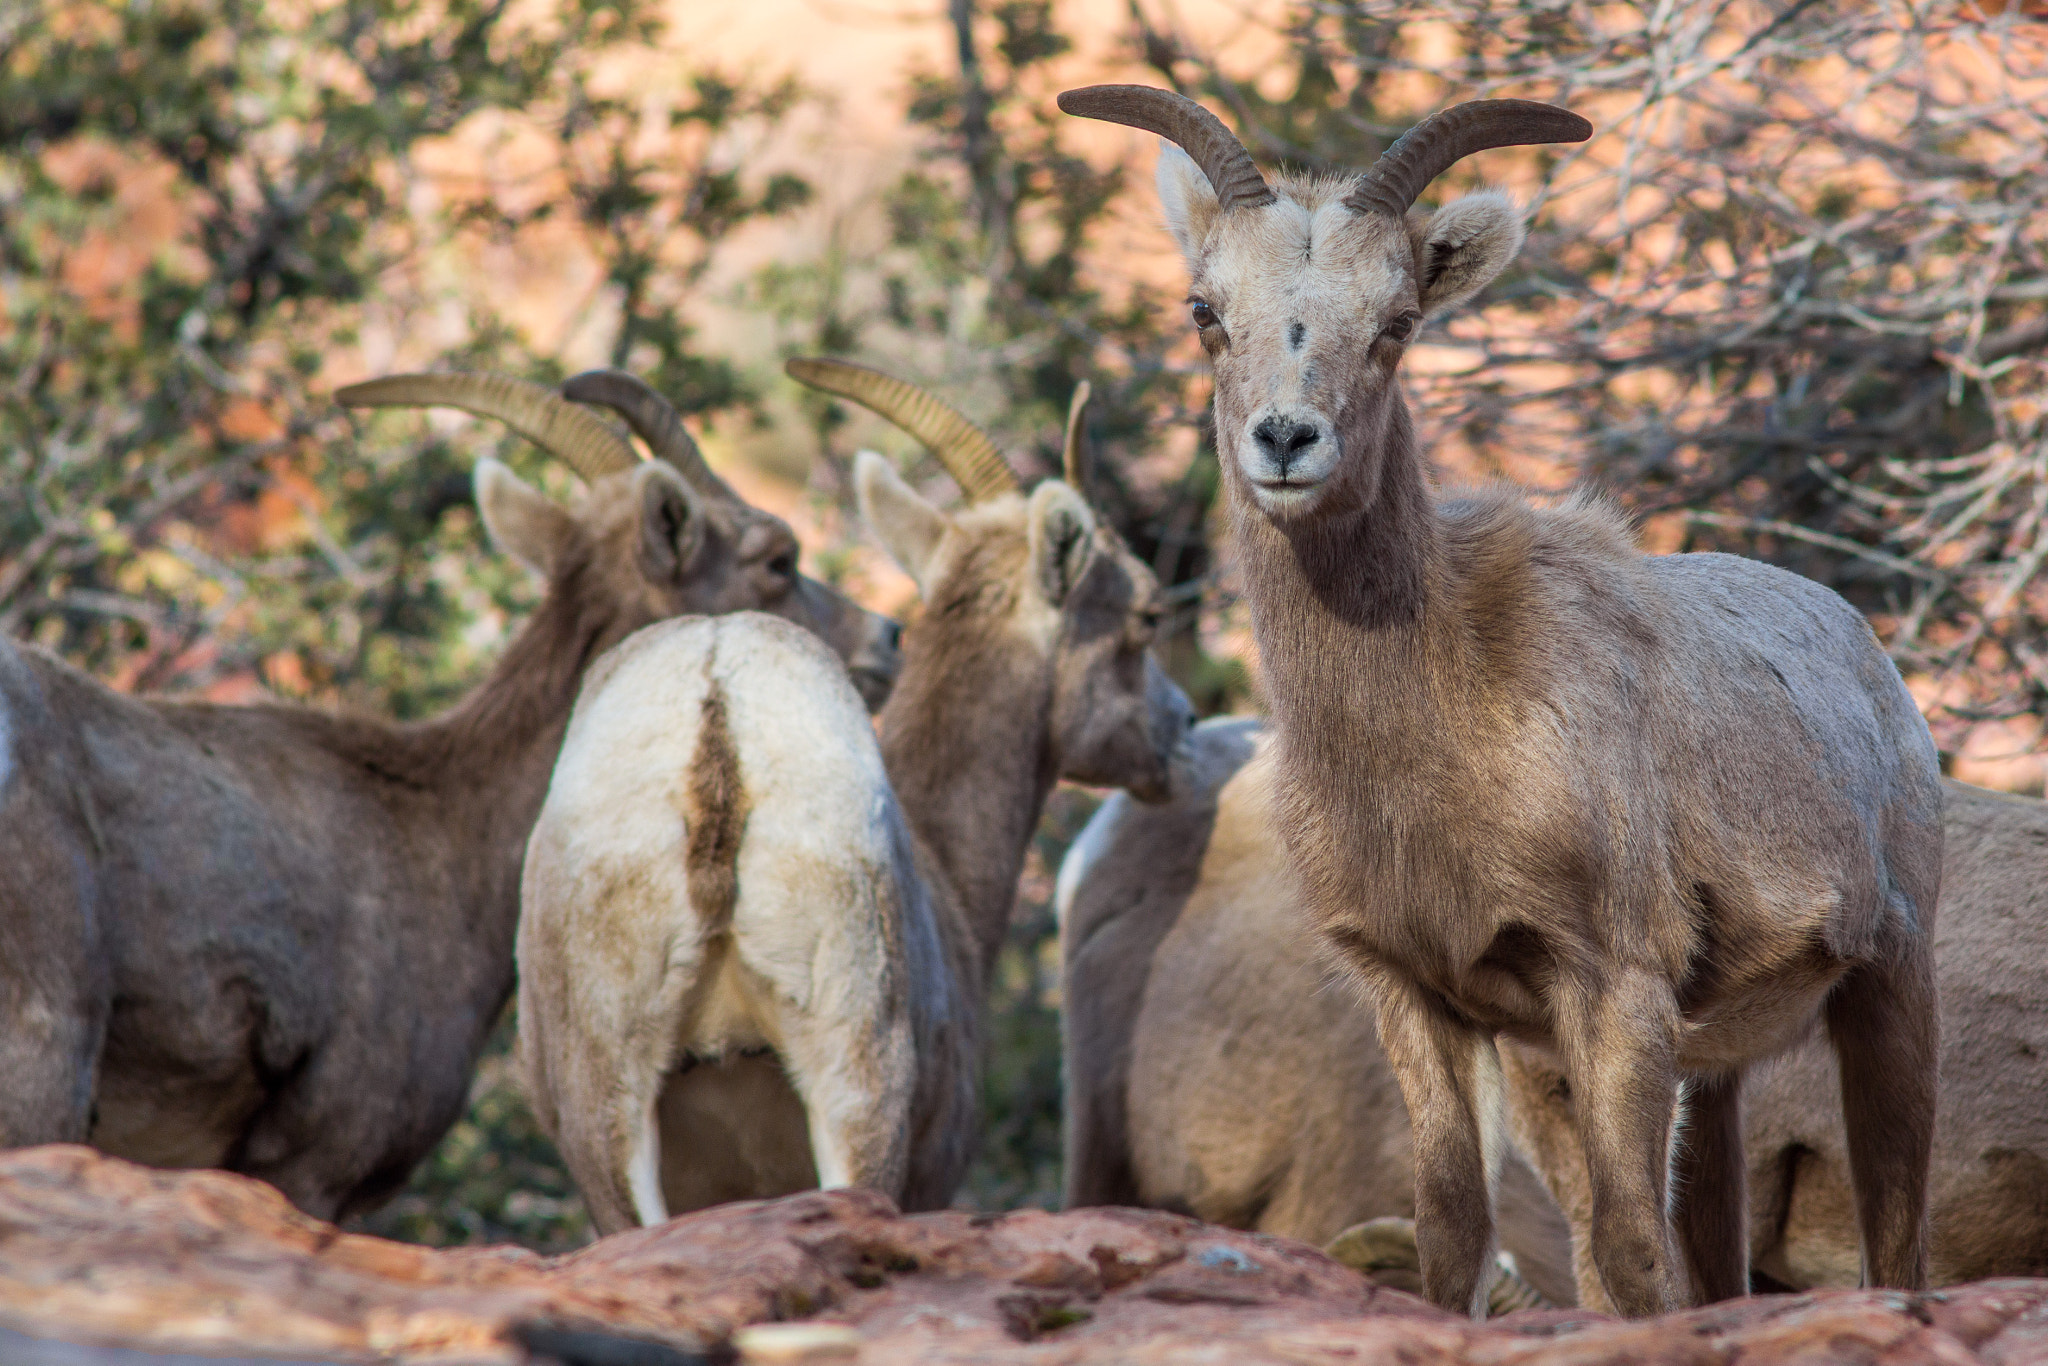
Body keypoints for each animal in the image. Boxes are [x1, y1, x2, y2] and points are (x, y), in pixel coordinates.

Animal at [512, 358, 1196, 1236]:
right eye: (1146, 614)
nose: (1181, 728)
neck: (946, 869)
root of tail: (717, 695)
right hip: (859, 1093)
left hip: (609, 1119)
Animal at [1064, 82, 1941, 1310]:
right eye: (1204, 311)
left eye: (1395, 322)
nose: (1285, 441)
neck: (1440, 733)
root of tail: (1877, 672)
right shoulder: (1417, 999)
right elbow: (1452, 1237)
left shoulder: (1612, 992)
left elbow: (1625, 1251)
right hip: (1719, 1071)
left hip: (1891, 992)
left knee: (1896, 1244)